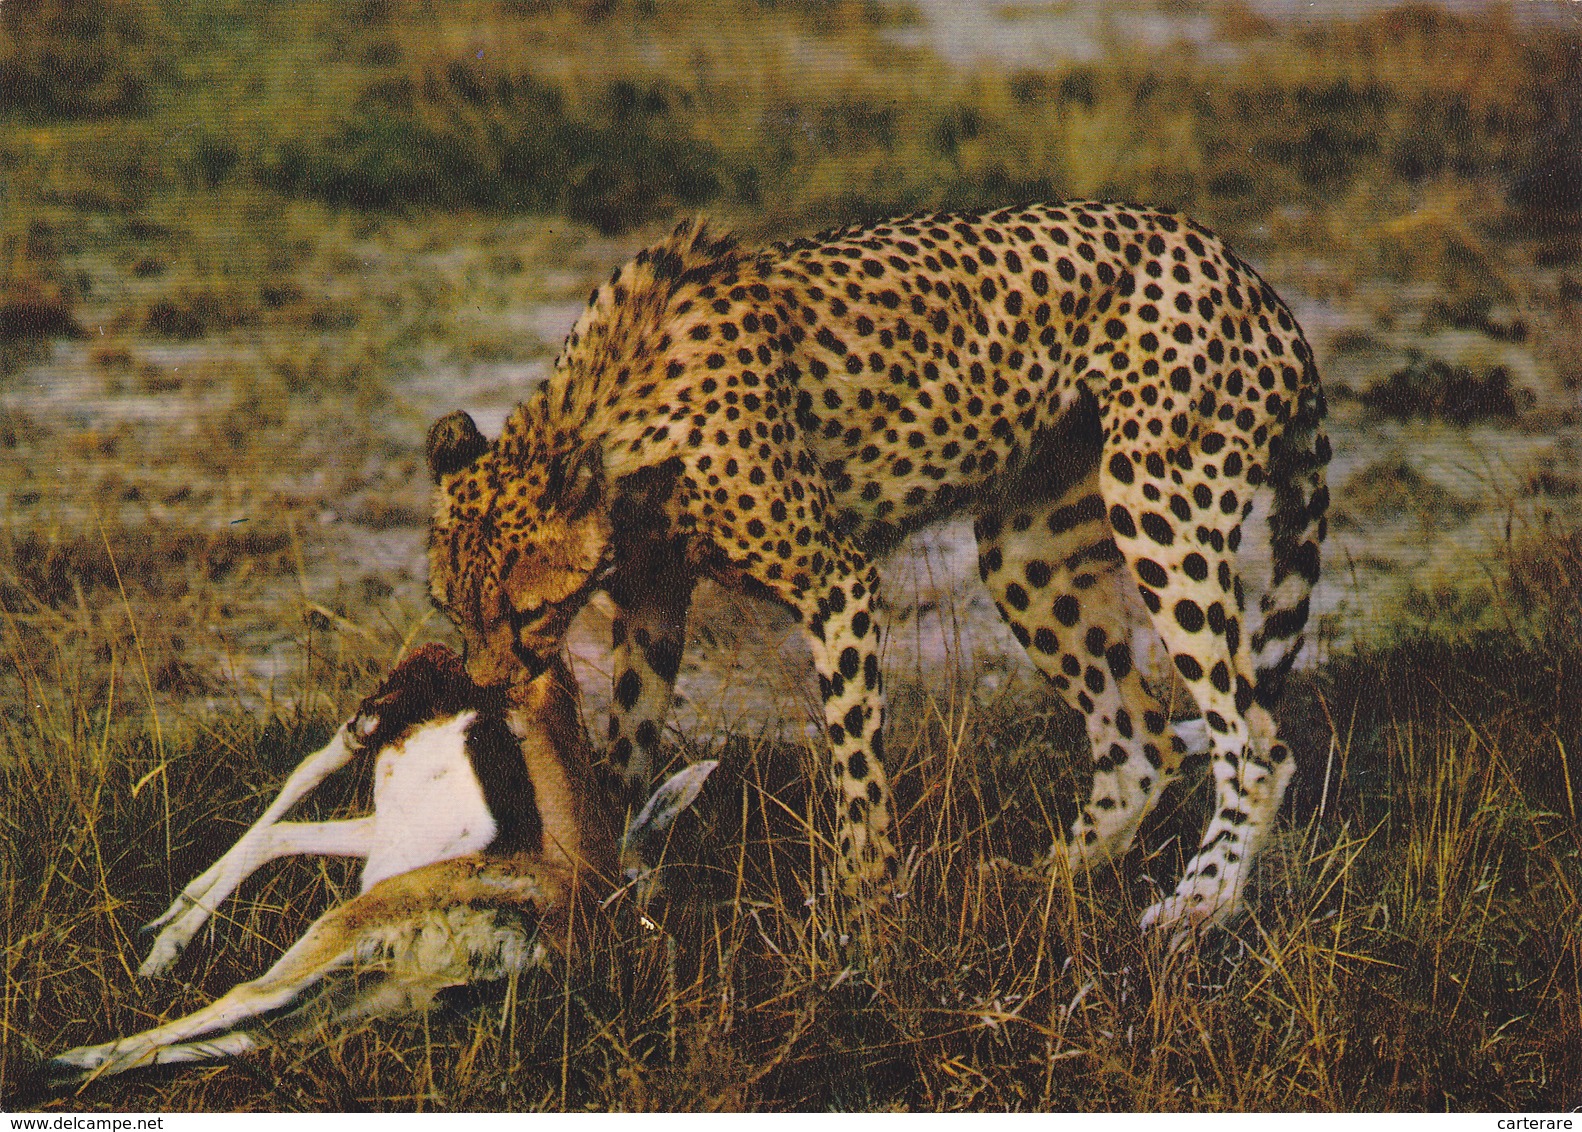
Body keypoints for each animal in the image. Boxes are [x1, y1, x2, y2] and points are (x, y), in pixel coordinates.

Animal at [427, 199, 1328, 942]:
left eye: (527, 612)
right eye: (449, 610)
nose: (492, 689)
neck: (609, 411)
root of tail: (1242, 269)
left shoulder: (836, 582)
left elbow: (856, 773)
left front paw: (861, 917)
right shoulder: (652, 596)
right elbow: (627, 749)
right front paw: (609, 882)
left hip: (1161, 505)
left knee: (1255, 743)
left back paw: (1200, 904)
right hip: (1027, 549)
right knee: (1140, 736)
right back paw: (1042, 886)